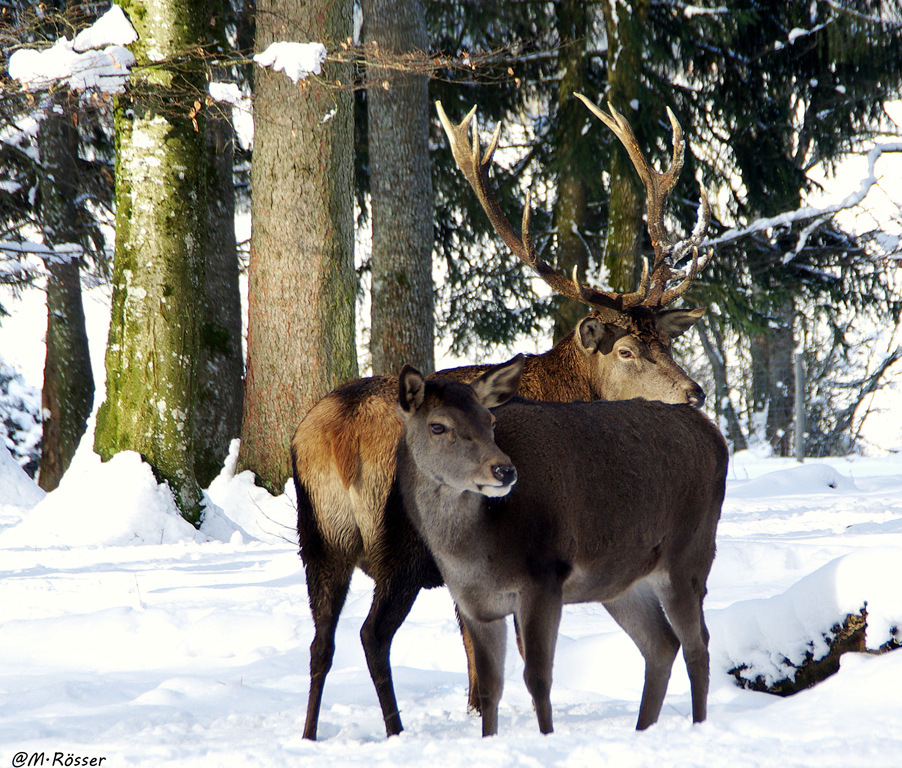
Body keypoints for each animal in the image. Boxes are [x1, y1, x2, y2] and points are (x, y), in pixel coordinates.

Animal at [400, 356, 732, 736]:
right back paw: (642, 728)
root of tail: (716, 436)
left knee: (698, 645)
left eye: (490, 421)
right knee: (662, 643)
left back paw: (697, 725)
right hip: (620, 584)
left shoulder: (544, 579)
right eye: (437, 426)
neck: (473, 554)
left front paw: (546, 736)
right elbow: (490, 687)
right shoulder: (474, 605)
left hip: (688, 555)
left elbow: (538, 678)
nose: (504, 470)